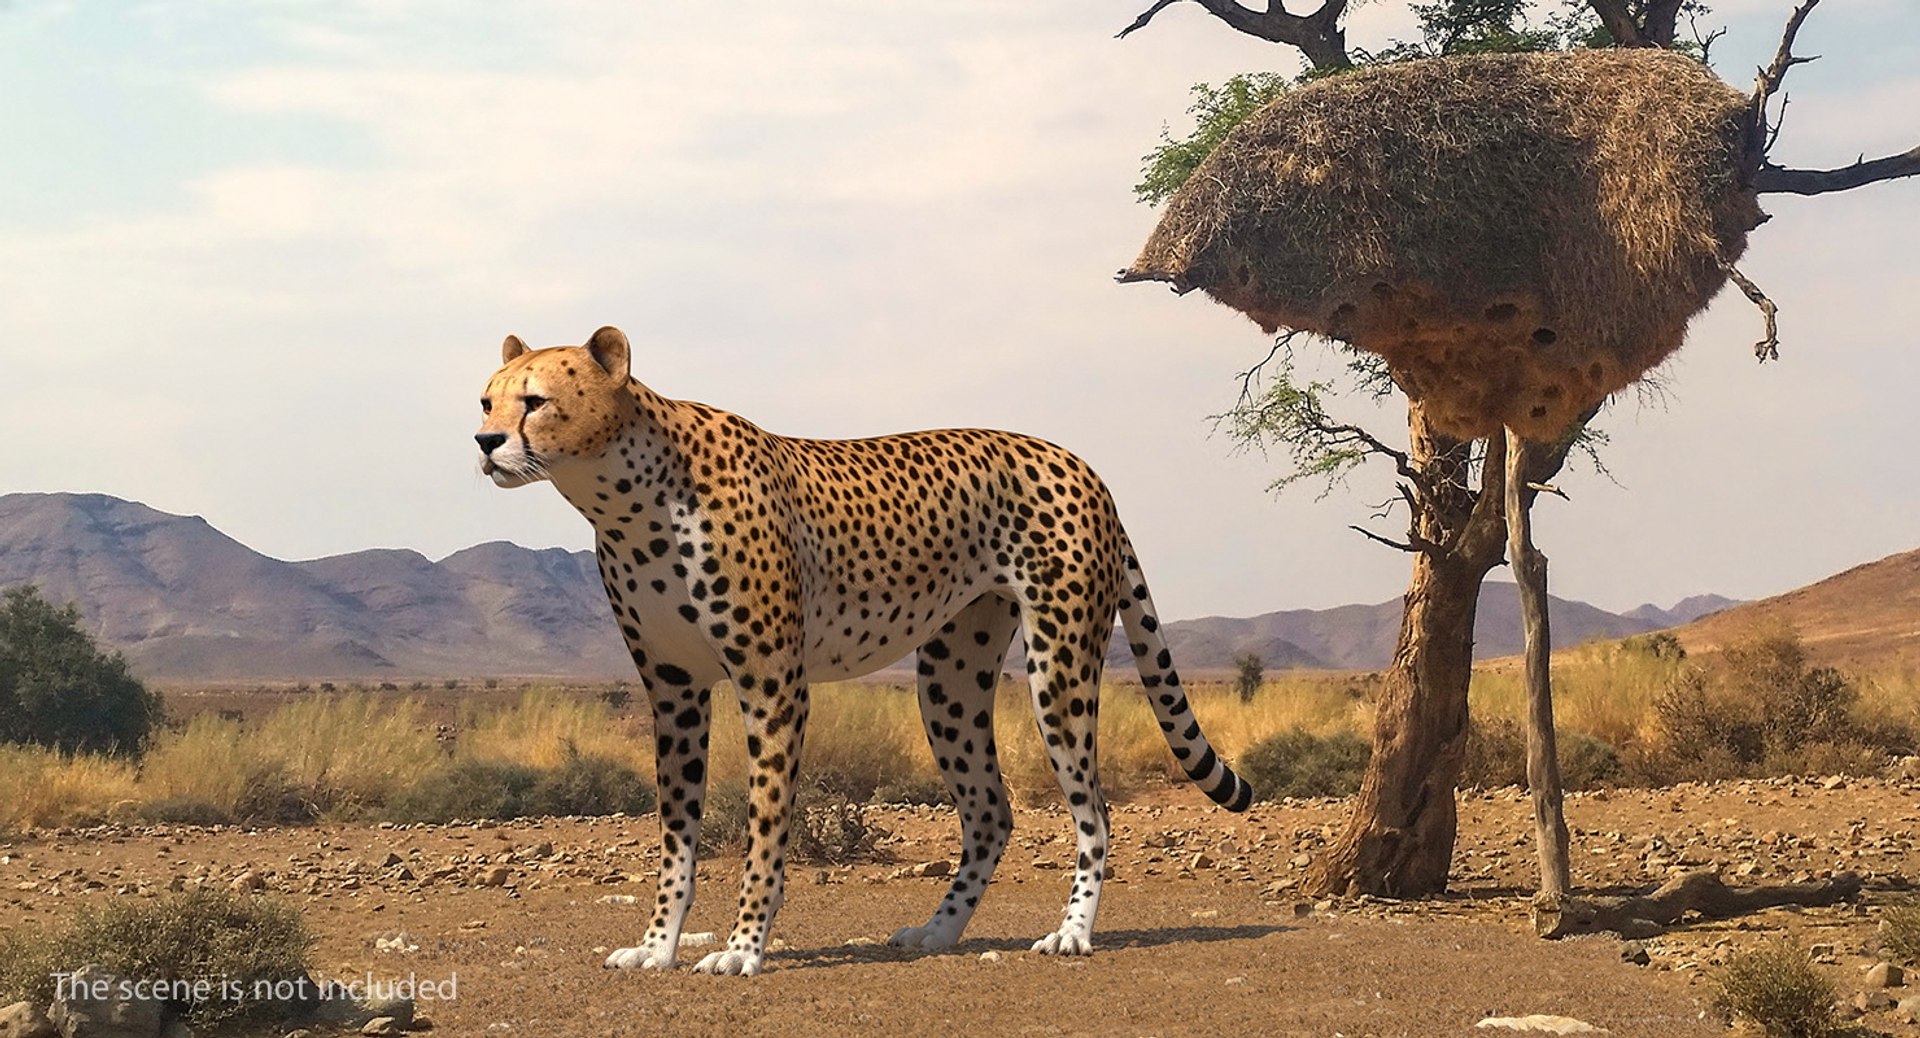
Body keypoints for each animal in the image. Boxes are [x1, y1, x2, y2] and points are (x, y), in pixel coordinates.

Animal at [473, 326, 1253, 976]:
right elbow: (676, 838)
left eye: (535, 401)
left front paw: (743, 947)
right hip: (949, 680)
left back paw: (1072, 931)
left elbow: (764, 828)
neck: (625, 495)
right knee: (991, 812)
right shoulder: (674, 692)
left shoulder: (772, 684)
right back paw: (938, 932)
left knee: (1094, 811)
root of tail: (1080, 463)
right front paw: (659, 944)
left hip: (1057, 664)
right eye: (486, 399)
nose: (483, 442)